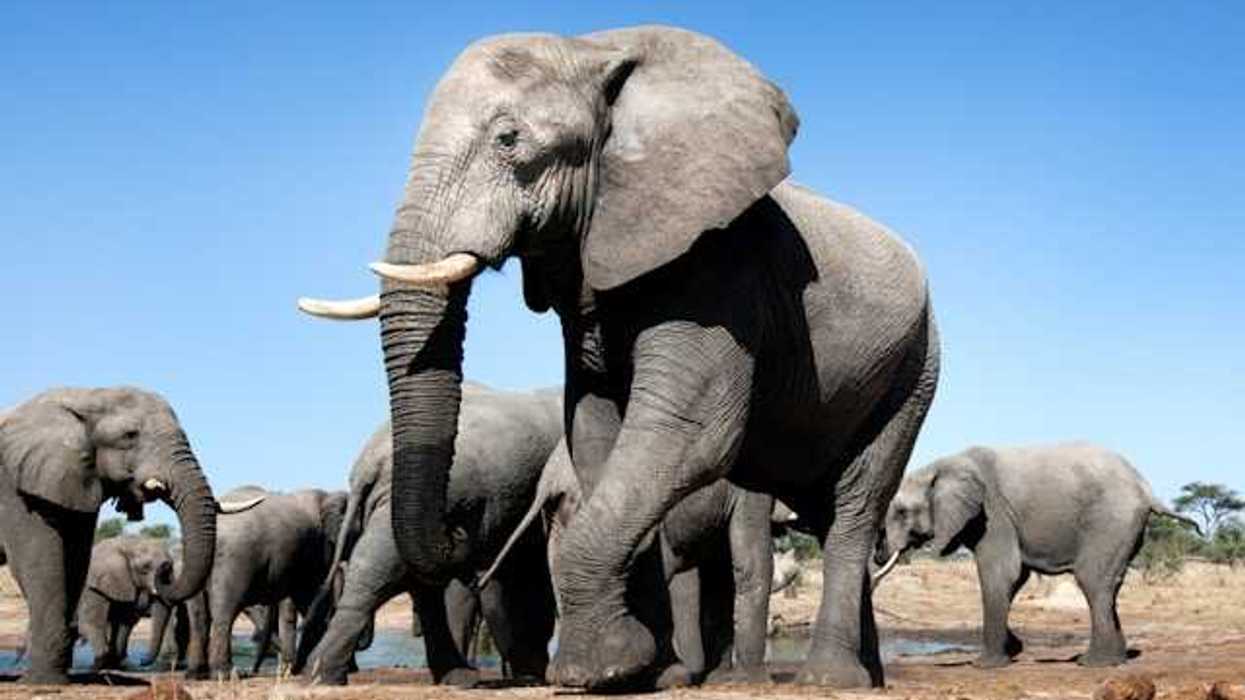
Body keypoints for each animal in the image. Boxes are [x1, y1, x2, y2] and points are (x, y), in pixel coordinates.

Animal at [76, 535, 175, 670]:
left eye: (169, 568)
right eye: (145, 567)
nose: (141, 661)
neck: (126, 544)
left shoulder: (125, 585)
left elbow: (124, 623)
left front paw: (118, 664)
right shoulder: (92, 588)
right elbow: (91, 623)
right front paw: (100, 666)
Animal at [183, 486, 345, 679]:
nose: (253, 671)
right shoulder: (317, 548)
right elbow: (310, 597)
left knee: (200, 617)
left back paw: (196, 674)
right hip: (237, 557)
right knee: (226, 610)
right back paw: (226, 674)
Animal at [297, 382, 561, 686]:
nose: (458, 532)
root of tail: (370, 462)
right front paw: (533, 673)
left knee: (410, 580)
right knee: (385, 575)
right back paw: (322, 676)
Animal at [482, 439, 793, 684]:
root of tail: (550, 480)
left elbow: (720, 577)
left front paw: (718, 676)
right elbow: (745, 564)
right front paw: (748, 679)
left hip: (563, 520)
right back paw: (663, 675)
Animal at [877, 442, 1201, 668]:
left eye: (902, 512)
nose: (880, 555)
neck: (940, 465)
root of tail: (1145, 489)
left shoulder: (993, 513)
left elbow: (1000, 572)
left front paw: (986, 665)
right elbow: (1015, 577)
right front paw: (1014, 649)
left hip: (1110, 520)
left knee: (1092, 580)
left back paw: (1094, 664)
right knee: (1109, 586)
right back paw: (1115, 659)